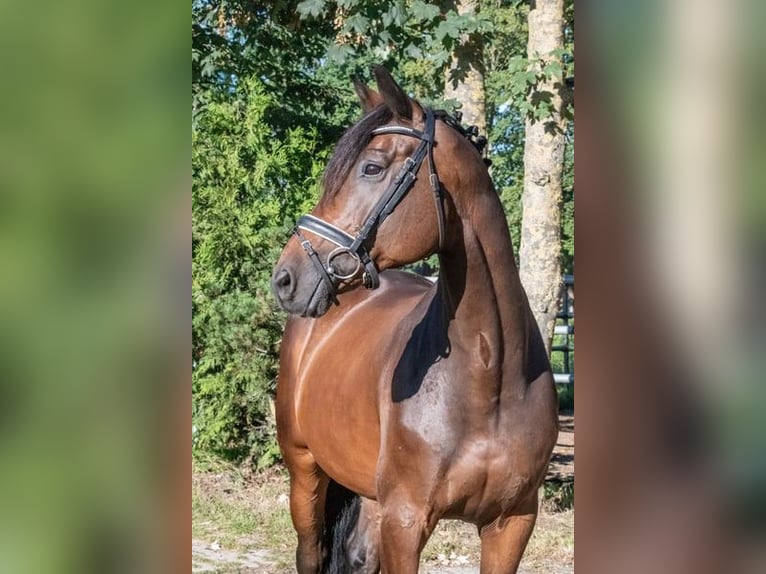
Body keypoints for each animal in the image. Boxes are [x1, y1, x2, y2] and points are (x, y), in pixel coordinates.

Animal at [274, 68, 560, 574]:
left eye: (371, 168)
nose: (286, 277)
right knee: (310, 553)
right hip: (305, 467)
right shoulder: (405, 520)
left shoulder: (513, 522)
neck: (490, 374)